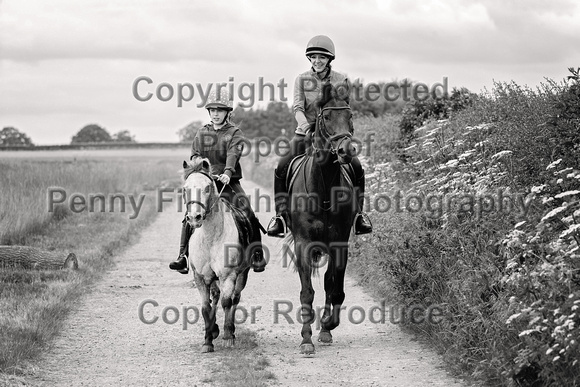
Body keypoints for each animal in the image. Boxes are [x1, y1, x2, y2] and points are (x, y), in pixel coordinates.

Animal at [286, 82, 358, 354]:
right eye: (326, 117)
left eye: (349, 115)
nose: (347, 151)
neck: (325, 188)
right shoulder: (303, 244)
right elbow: (307, 292)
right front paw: (306, 340)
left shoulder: (340, 244)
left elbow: (335, 289)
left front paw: (327, 325)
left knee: (329, 283)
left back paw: (325, 329)